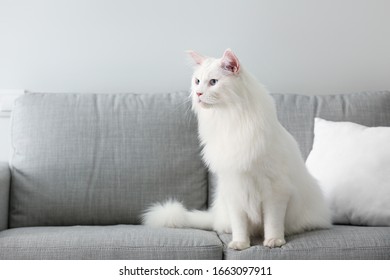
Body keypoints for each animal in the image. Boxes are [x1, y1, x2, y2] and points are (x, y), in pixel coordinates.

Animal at [142, 48, 330, 249]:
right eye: (197, 81)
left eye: (213, 82)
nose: (198, 93)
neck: (229, 119)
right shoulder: (234, 188)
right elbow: (240, 224)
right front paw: (240, 243)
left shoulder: (275, 190)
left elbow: (272, 222)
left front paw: (274, 241)